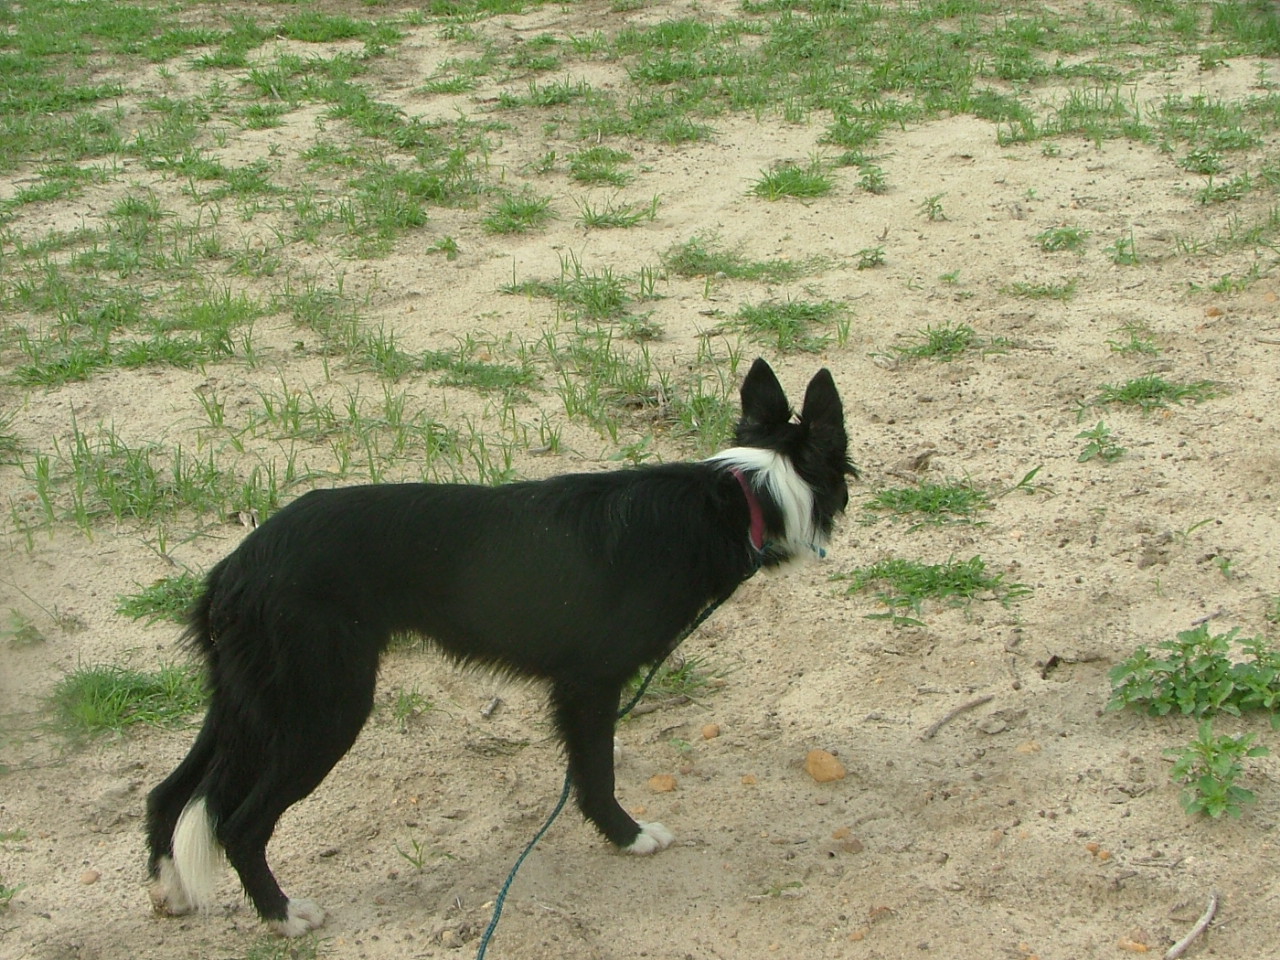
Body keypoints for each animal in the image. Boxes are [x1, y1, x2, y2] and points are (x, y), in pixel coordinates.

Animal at [145, 358, 849, 936]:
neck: (740, 496)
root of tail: (237, 566)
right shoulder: (590, 684)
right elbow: (596, 775)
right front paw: (628, 837)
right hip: (323, 711)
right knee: (238, 823)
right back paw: (284, 915)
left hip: (250, 703)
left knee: (169, 793)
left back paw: (170, 892)